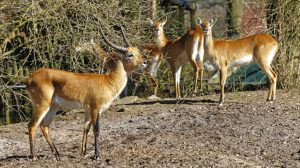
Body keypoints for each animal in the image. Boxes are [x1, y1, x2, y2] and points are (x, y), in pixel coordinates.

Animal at [27, 20, 146, 161]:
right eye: (130, 54)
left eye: (137, 51)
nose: (144, 62)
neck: (108, 81)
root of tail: (30, 78)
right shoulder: (95, 108)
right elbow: (96, 129)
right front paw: (97, 155)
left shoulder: (88, 110)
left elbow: (86, 128)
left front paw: (83, 154)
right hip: (42, 105)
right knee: (32, 125)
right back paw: (34, 156)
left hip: (53, 106)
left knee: (44, 126)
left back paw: (58, 155)